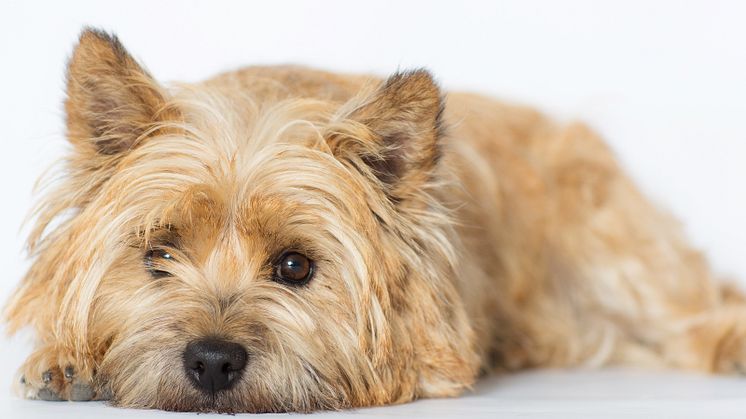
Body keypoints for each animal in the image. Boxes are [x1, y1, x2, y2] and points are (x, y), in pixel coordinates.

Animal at [5, 28, 744, 414]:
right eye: (159, 253)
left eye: (295, 266)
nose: (212, 361)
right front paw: (63, 358)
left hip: (615, 250)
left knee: (692, 315)